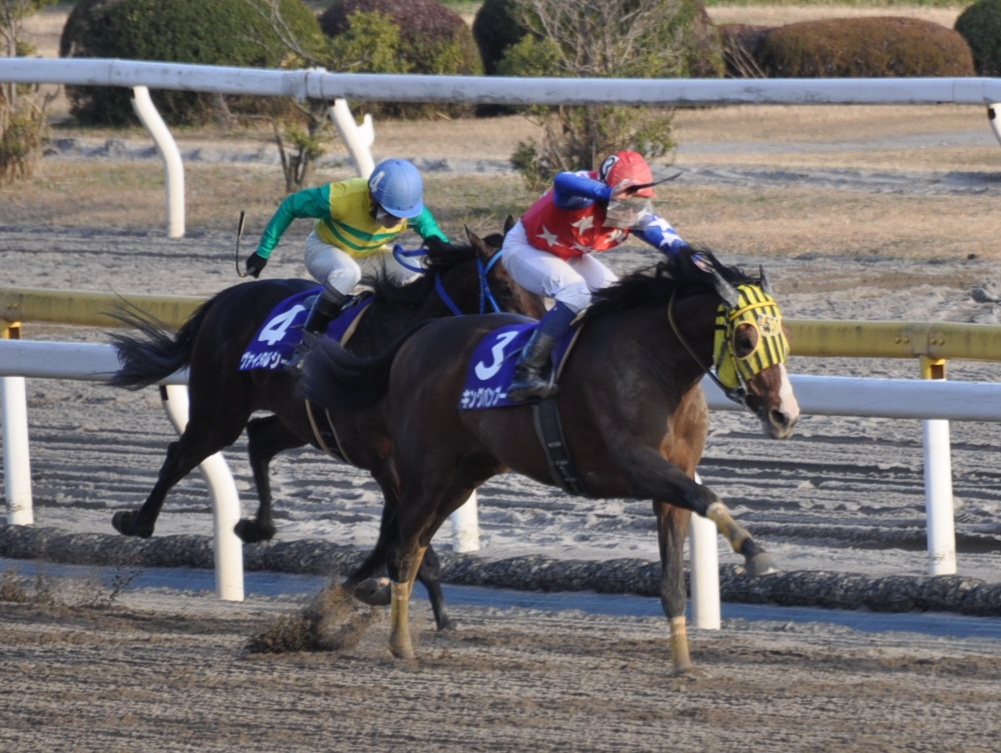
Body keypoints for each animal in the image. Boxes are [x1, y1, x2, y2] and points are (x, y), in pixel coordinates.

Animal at [107, 223, 546, 631]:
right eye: (505, 286)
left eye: (539, 286)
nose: (533, 344)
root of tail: (223, 300)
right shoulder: (385, 460)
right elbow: (405, 535)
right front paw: (426, 606)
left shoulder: (410, 464)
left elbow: (394, 533)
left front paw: (380, 594)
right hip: (221, 409)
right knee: (182, 453)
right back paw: (136, 521)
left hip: (295, 418)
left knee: (259, 439)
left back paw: (257, 527)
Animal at [299, 249, 800, 671]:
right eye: (746, 338)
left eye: (783, 338)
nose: (785, 414)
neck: (655, 363)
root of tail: (416, 335)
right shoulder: (638, 464)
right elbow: (707, 495)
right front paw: (755, 552)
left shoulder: (669, 487)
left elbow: (676, 575)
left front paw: (682, 663)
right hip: (427, 472)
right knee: (403, 547)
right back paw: (397, 640)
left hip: (461, 477)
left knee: (414, 543)